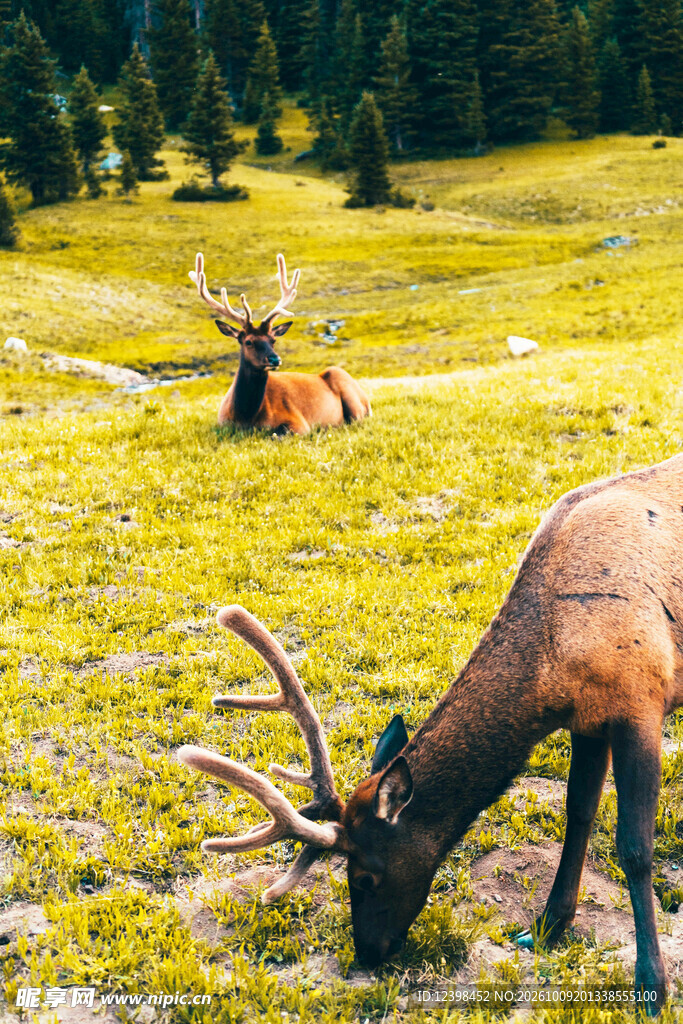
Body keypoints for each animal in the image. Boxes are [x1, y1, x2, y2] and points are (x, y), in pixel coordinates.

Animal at [178, 452, 683, 1015]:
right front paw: (546, 928)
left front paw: (652, 986)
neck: (556, 660)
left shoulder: (641, 701)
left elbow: (634, 848)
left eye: (365, 874)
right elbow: (578, 814)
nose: (368, 954)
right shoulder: (587, 719)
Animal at [189, 253, 371, 434]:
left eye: (273, 340)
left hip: (348, 390)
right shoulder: (221, 424)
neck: (245, 416)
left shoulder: (300, 423)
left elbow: (277, 434)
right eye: (248, 341)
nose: (275, 359)